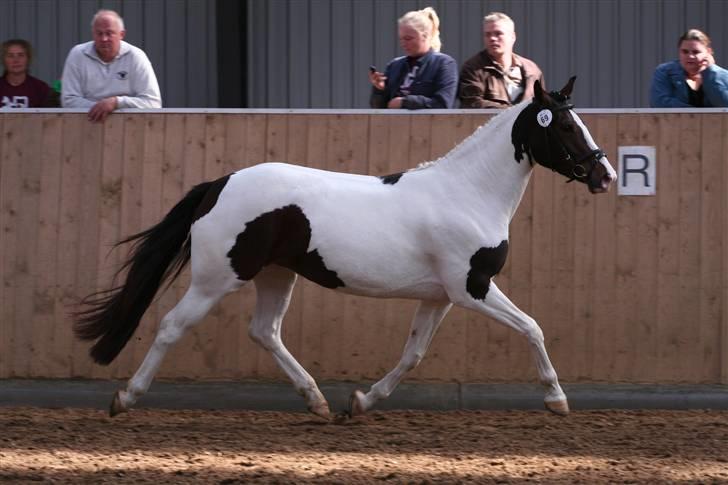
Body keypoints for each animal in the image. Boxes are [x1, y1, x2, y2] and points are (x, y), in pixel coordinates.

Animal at [77, 77, 616, 418]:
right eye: (564, 126)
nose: (605, 175)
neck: (468, 193)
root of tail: (219, 184)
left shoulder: (439, 297)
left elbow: (412, 354)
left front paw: (360, 402)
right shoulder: (473, 288)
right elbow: (532, 328)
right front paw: (557, 399)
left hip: (276, 275)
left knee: (264, 331)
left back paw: (316, 401)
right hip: (217, 279)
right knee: (172, 326)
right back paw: (125, 399)